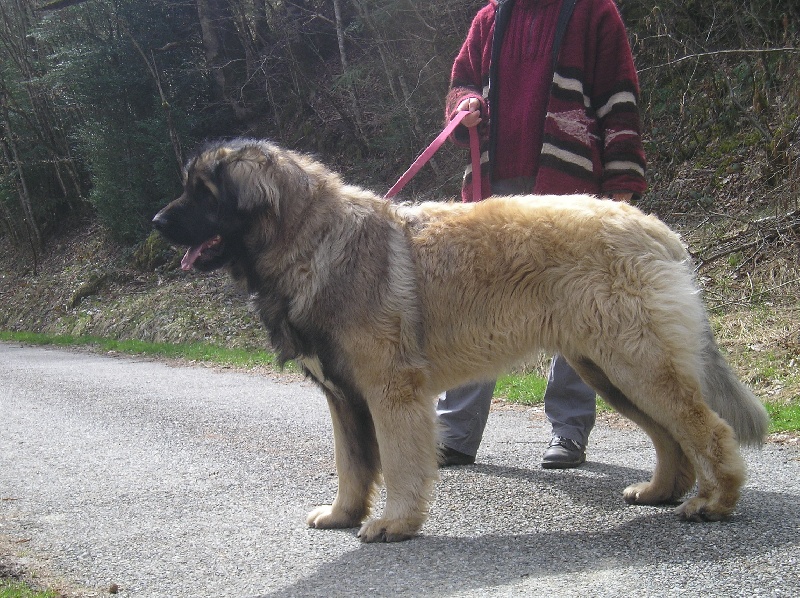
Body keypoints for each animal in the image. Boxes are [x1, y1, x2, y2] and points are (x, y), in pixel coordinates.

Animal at [152, 139, 768, 544]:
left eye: (204, 192)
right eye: (187, 189)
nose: (156, 222)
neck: (309, 243)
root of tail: (657, 229)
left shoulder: (391, 389)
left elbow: (399, 461)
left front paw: (394, 523)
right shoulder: (342, 395)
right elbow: (352, 463)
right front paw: (343, 514)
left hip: (635, 361)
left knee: (706, 428)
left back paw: (714, 502)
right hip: (607, 367)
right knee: (671, 434)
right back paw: (662, 490)